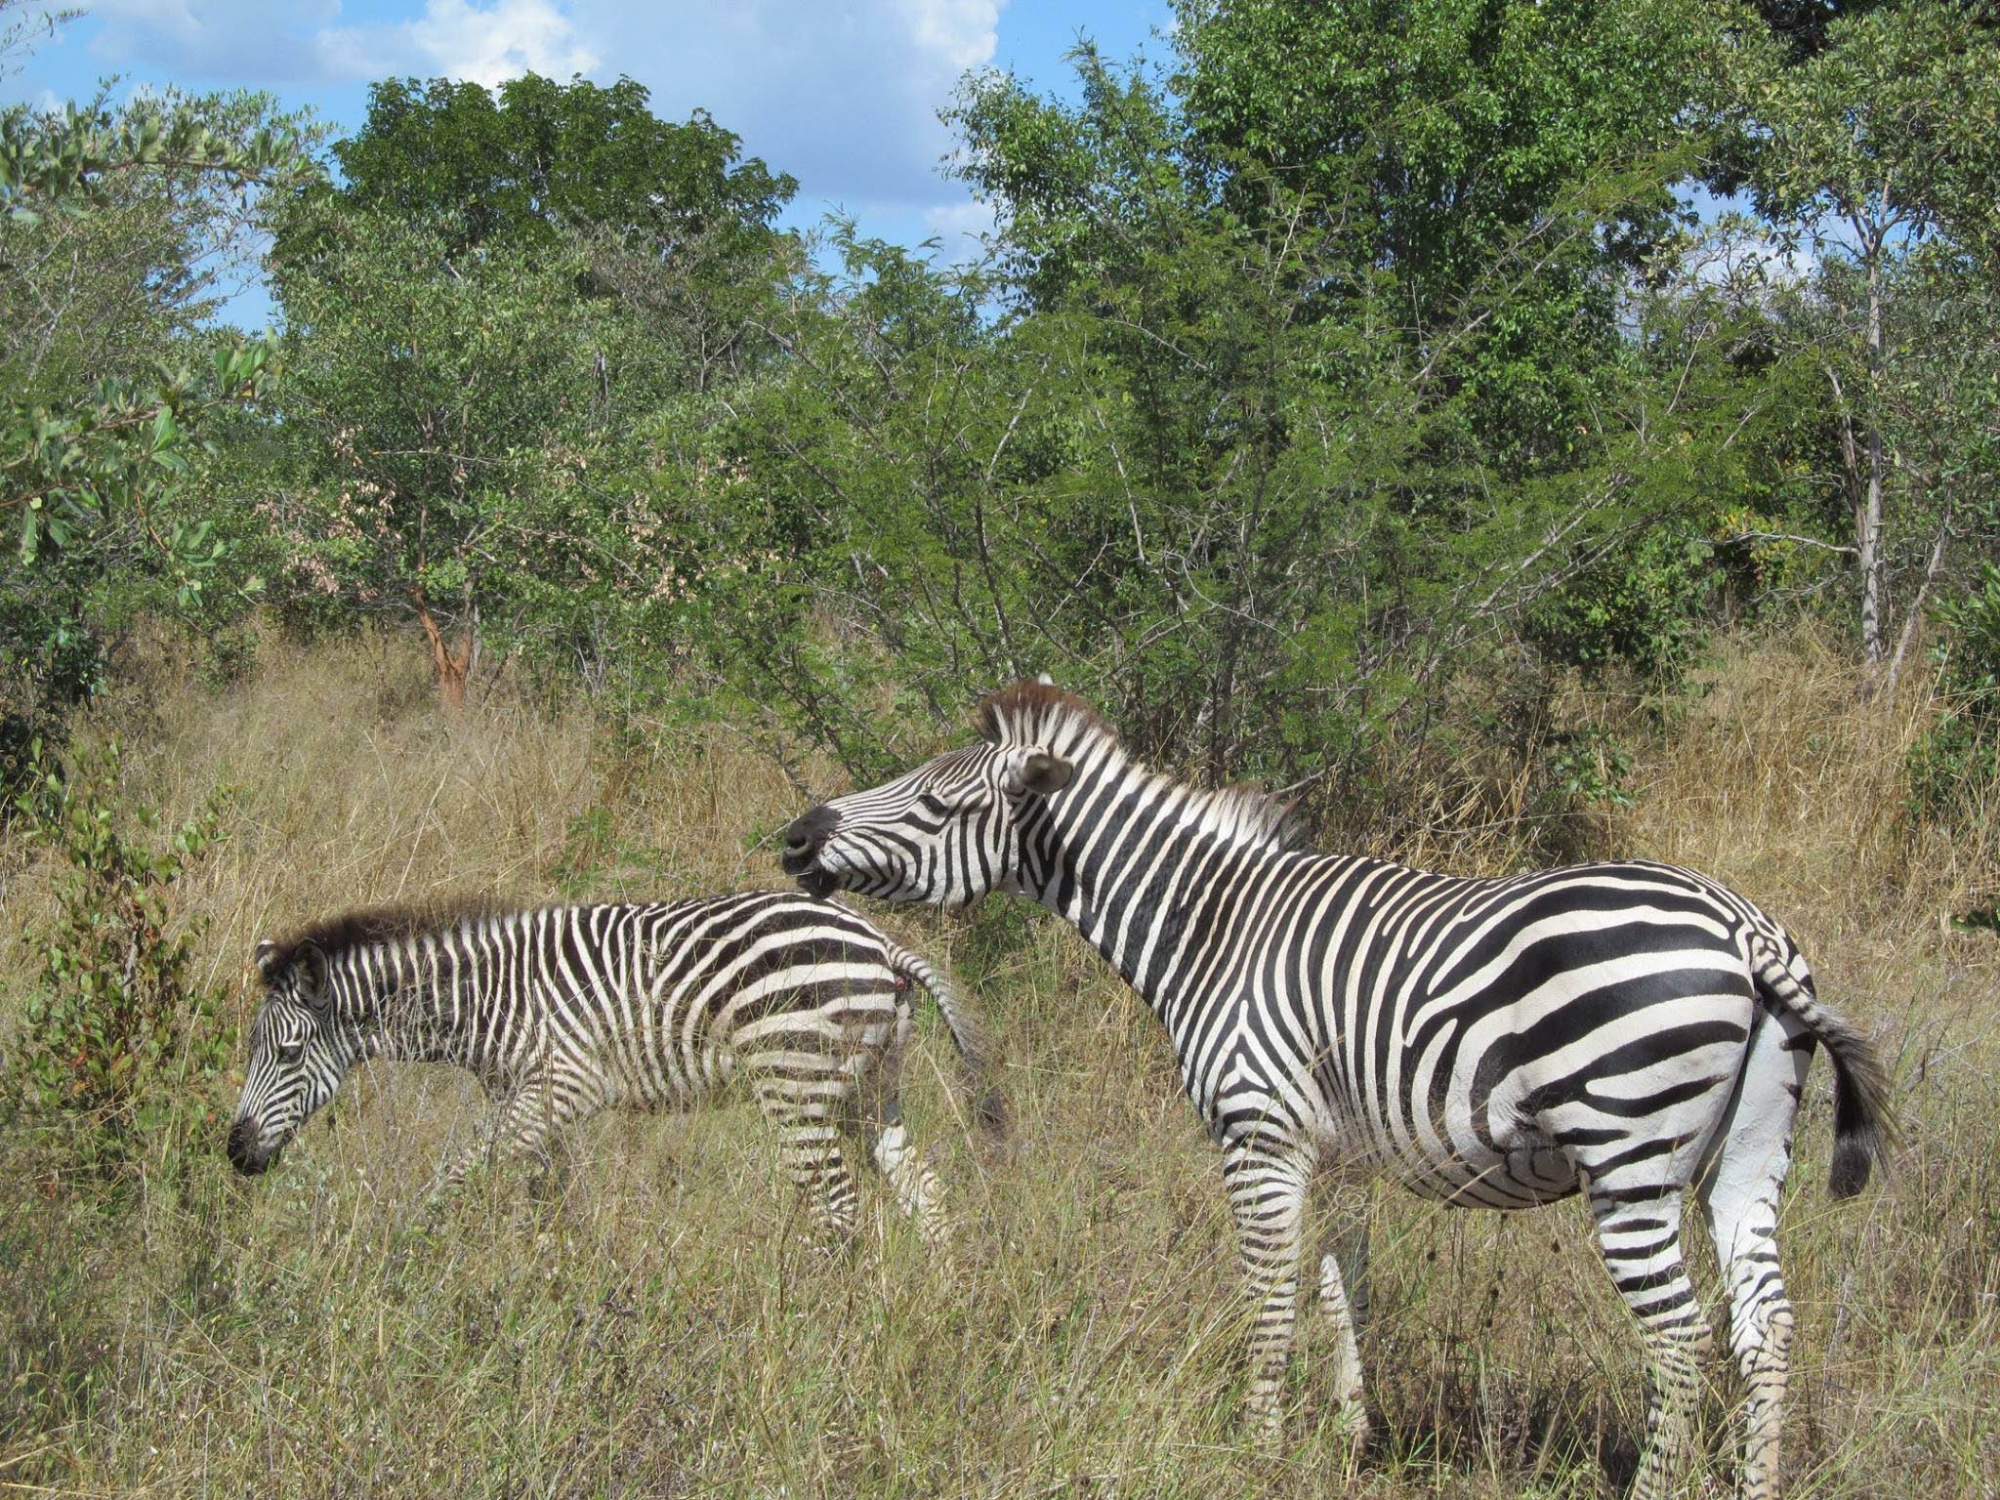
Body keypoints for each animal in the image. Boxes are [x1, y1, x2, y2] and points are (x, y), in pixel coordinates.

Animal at [225, 892, 992, 1248]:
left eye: (287, 1053)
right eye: (252, 1050)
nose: (237, 1155)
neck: (488, 999)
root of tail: (883, 943)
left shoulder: (561, 1086)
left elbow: (459, 1171)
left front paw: (412, 1254)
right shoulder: (530, 1101)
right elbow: (545, 1195)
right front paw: (552, 1275)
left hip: (796, 1085)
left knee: (837, 1206)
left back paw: (810, 1316)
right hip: (867, 1087)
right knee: (923, 1190)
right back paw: (945, 1303)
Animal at [780, 684, 1888, 1500]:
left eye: (936, 805)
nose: (794, 837)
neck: (1208, 924)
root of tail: (1742, 929)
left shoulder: (1257, 1134)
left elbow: (1269, 1297)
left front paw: (1257, 1452)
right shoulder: (1337, 1150)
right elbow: (1339, 1292)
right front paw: (1349, 1441)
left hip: (1629, 1158)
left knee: (1678, 1339)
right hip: (1744, 1159)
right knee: (1764, 1326)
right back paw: (1756, 1486)